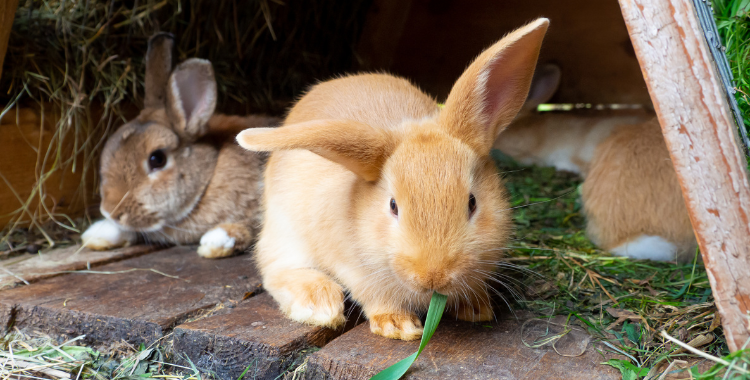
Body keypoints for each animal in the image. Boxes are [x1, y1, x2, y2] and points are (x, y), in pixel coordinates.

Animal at [238, 18, 556, 342]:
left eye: (472, 202)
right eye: (393, 206)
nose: (434, 277)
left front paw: (476, 309)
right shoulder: (357, 271)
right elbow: (376, 298)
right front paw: (399, 326)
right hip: (284, 232)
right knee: (277, 269)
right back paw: (320, 305)